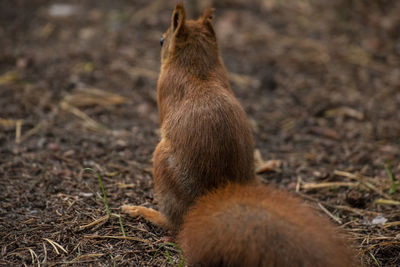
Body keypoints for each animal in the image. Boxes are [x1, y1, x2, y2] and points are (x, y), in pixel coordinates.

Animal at [122, 3, 356, 266]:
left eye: (162, 41)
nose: (161, 41)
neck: (199, 69)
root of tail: (211, 196)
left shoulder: (163, 87)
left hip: (161, 162)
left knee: (174, 223)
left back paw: (144, 212)